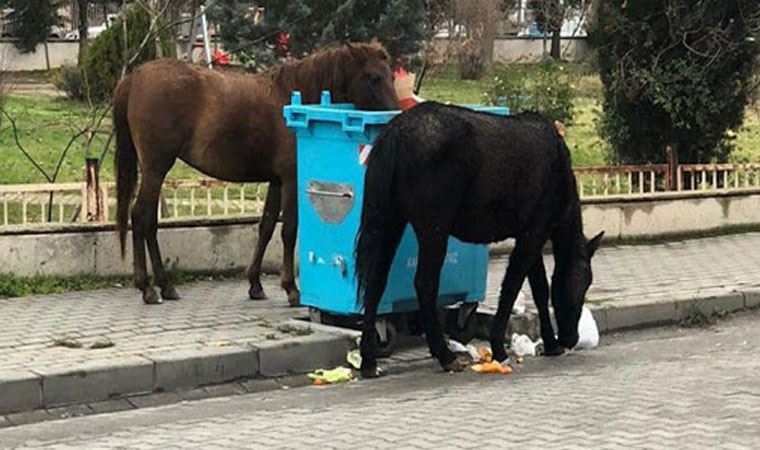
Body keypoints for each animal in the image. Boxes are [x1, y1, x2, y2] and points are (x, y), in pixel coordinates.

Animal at [114, 42, 398, 306]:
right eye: (374, 77)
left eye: (391, 75)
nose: (394, 119)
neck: (292, 102)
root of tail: (135, 76)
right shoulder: (290, 180)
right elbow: (289, 230)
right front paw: (291, 289)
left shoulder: (276, 181)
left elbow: (266, 227)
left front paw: (255, 284)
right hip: (156, 168)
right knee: (141, 217)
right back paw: (148, 288)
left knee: (149, 222)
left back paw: (165, 286)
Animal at [354, 102, 604, 376]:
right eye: (582, 284)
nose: (571, 338)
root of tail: (395, 132)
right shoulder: (535, 232)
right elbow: (513, 287)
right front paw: (499, 347)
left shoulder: (529, 234)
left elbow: (539, 289)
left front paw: (550, 343)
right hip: (433, 229)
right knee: (424, 284)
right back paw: (444, 355)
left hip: (391, 221)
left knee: (375, 282)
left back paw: (368, 359)